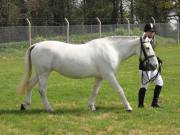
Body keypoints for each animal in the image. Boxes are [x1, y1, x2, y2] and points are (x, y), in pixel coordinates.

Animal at [16, 35, 158, 112]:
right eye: (147, 48)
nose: (155, 65)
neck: (112, 50)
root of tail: (36, 45)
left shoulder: (100, 77)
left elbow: (94, 92)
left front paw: (91, 107)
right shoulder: (109, 75)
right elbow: (120, 90)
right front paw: (128, 107)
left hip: (39, 73)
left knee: (30, 85)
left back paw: (25, 105)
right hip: (44, 73)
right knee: (41, 90)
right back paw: (49, 108)